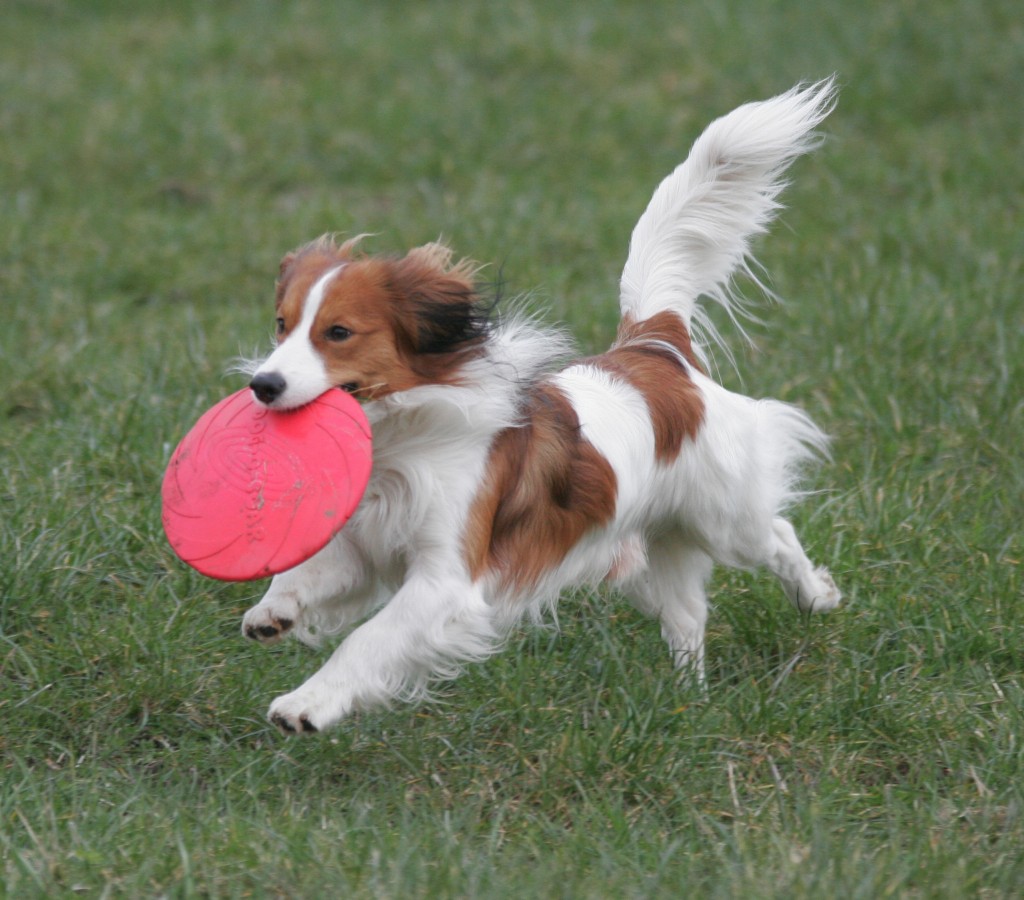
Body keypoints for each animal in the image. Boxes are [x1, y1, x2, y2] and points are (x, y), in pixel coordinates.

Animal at [239, 80, 839, 737]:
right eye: (281, 325)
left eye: (339, 333)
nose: (263, 385)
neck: (405, 436)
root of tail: (653, 349)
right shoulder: (365, 545)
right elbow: (310, 573)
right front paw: (274, 609)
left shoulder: (447, 579)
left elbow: (367, 642)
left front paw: (307, 703)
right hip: (653, 546)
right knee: (687, 616)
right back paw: (687, 704)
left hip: (723, 517)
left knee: (776, 535)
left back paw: (815, 596)